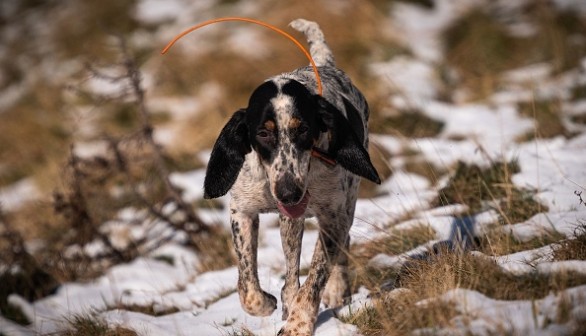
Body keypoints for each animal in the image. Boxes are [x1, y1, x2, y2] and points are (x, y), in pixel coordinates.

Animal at [203, 19, 380, 336]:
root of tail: (324, 63)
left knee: (338, 249)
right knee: (290, 270)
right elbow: (247, 284)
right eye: (263, 133)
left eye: (304, 129)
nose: (288, 193)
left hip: (343, 207)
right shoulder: (243, 212)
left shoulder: (332, 219)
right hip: (290, 224)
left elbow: (315, 279)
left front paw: (299, 323)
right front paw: (266, 303)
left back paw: (334, 291)